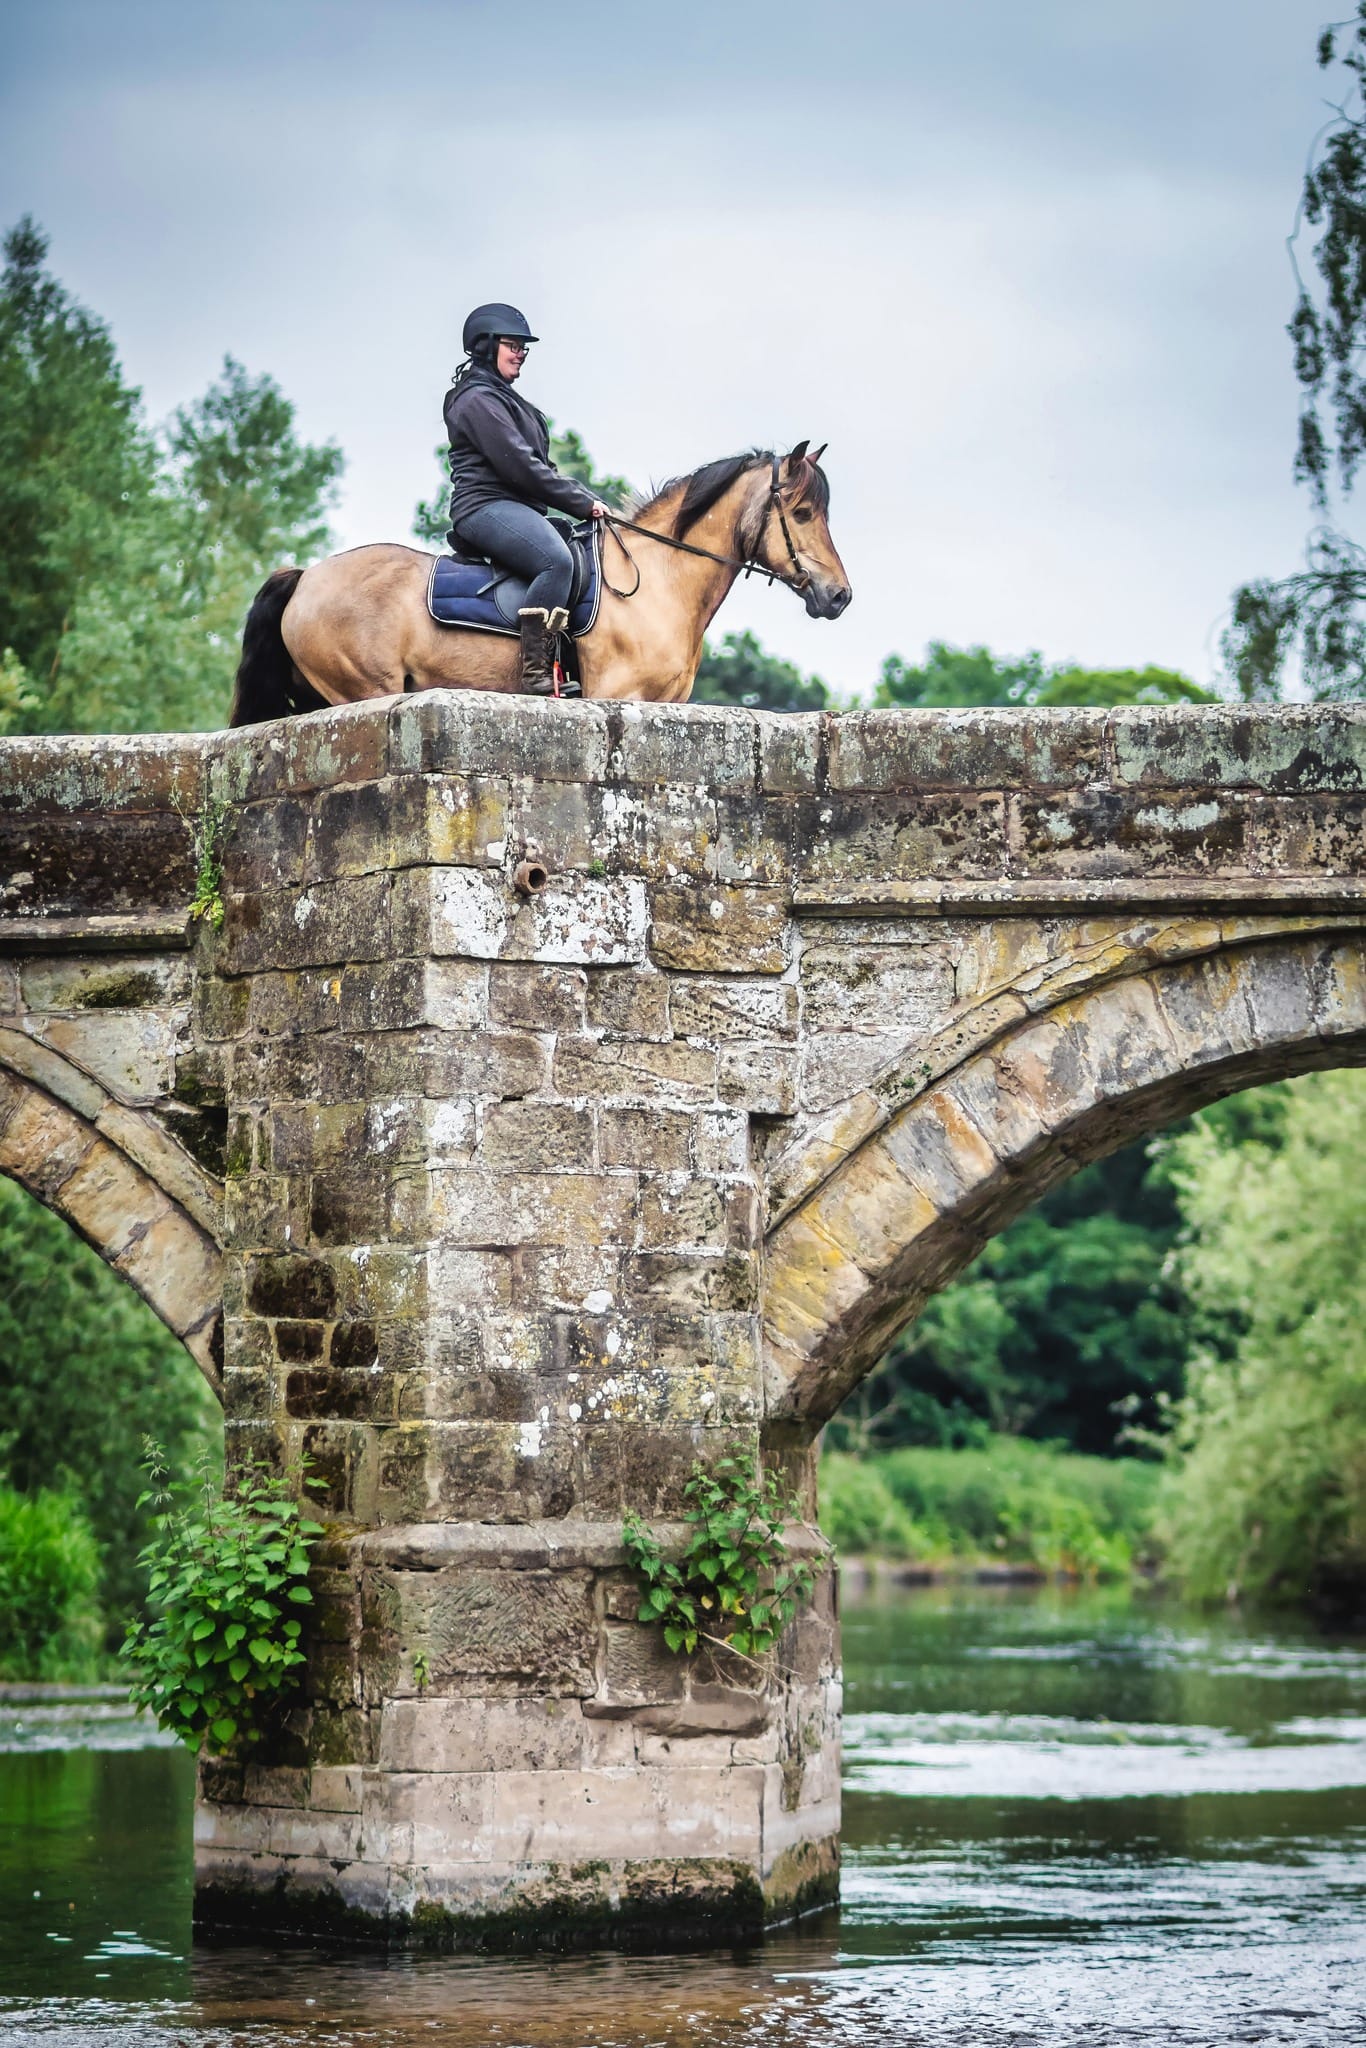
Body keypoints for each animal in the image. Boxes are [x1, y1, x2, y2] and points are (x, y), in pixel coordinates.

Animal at [233, 440, 847, 720]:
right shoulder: (616, 695)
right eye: (801, 514)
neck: (657, 583)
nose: (839, 596)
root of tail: (306, 576)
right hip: (364, 689)